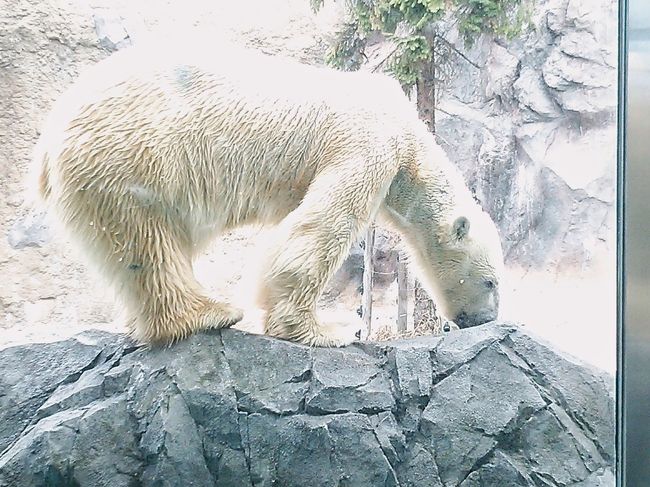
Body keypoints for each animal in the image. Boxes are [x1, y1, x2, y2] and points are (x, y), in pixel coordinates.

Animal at [31, 43, 502, 346]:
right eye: (491, 281)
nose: (485, 319)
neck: (409, 136)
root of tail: (48, 142)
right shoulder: (367, 143)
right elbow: (325, 224)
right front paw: (328, 331)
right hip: (133, 155)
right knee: (147, 239)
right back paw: (209, 313)